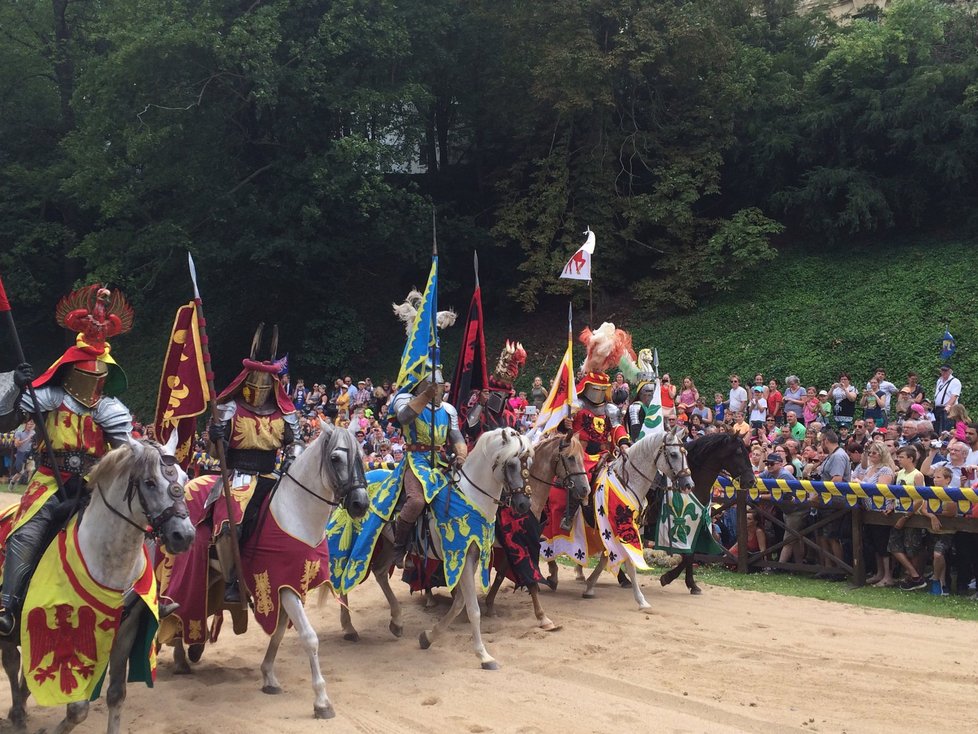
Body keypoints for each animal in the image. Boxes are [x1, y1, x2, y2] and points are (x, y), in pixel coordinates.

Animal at [0, 436, 194, 734]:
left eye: (184, 479)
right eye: (149, 482)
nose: (183, 535)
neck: (109, 561)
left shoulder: (125, 633)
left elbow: (116, 695)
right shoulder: (64, 633)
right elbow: (78, 708)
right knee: (11, 662)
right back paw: (19, 714)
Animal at [166, 428, 368, 720]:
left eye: (361, 454)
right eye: (335, 458)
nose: (360, 503)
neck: (296, 513)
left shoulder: (287, 585)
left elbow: (279, 632)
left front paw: (268, 676)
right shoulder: (280, 586)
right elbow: (309, 638)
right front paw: (322, 701)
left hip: (211, 574)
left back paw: (191, 649)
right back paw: (181, 656)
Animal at [416, 426, 528, 672]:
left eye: (528, 462)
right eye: (511, 464)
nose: (524, 504)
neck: (472, 497)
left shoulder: (473, 558)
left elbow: (460, 603)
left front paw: (429, 636)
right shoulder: (462, 557)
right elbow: (473, 610)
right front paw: (484, 656)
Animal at [660, 434, 752, 596]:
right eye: (739, 452)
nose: (752, 480)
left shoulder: (696, 526)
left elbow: (691, 555)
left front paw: (692, 584)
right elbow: (688, 555)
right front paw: (667, 577)